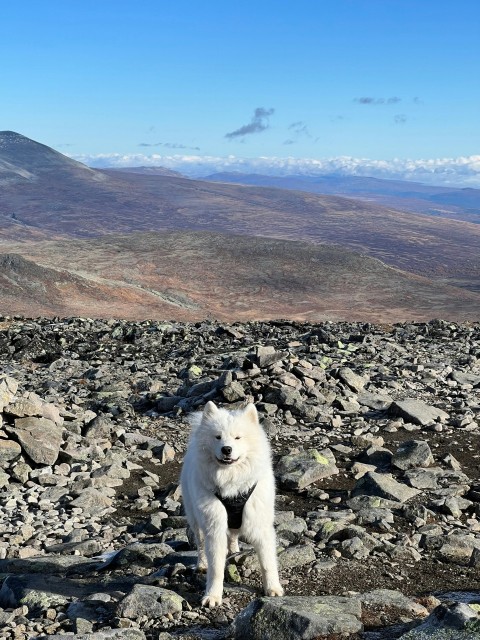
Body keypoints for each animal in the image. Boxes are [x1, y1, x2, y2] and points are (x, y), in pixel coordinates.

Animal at [181, 402, 284, 608]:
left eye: (238, 437)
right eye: (217, 437)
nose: (226, 449)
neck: (232, 484)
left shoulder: (261, 524)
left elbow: (268, 562)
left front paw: (273, 588)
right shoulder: (215, 527)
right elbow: (216, 568)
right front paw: (212, 596)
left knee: (234, 534)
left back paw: (235, 550)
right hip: (196, 519)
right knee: (200, 543)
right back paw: (202, 564)